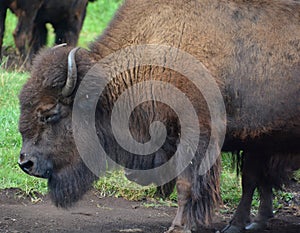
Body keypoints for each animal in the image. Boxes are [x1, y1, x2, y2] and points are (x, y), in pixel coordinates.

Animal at [17, 0, 298, 233]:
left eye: (49, 114)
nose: (25, 163)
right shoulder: (256, 140)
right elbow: (252, 180)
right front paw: (242, 224)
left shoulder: (197, 135)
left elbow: (188, 185)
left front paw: (179, 227)